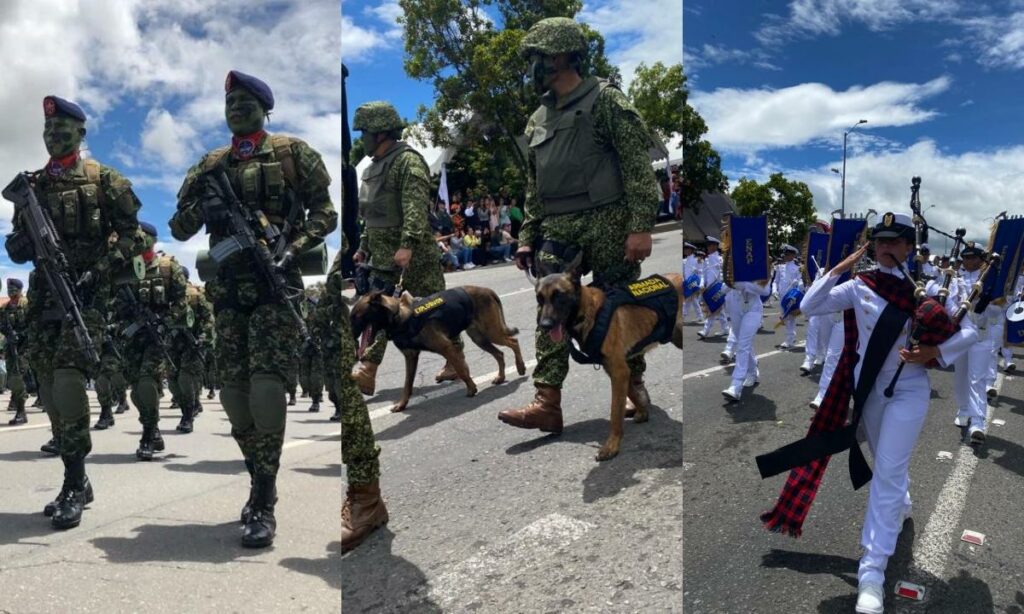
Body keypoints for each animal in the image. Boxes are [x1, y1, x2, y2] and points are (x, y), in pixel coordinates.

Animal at [352, 288, 528, 413]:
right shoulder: (411, 357)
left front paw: (471, 388)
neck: (399, 316)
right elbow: (407, 384)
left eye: (357, 316)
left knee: (513, 342)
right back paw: (501, 377)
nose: (351, 337)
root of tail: (487, 290)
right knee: (500, 353)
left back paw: (520, 367)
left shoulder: (447, 347)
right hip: (480, 339)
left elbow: (462, 370)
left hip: (491, 332)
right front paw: (402, 404)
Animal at [532, 250, 684, 460]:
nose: (544, 325)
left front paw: (612, 446)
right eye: (540, 298)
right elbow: (632, 393)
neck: (589, 312)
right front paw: (643, 411)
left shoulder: (619, 371)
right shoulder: (616, 370)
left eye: (559, 296)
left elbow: (614, 412)